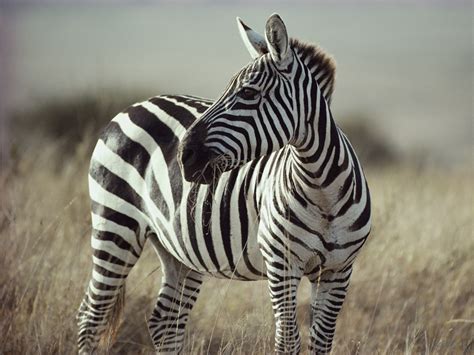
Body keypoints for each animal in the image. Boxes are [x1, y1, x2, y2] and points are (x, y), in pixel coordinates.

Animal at [78, 12, 370, 354]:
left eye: (248, 93)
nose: (183, 156)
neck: (324, 191)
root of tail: (132, 106)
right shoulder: (281, 264)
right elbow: (287, 342)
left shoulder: (338, 271)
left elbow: (321, 343)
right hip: (115, 224)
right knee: (91, 314)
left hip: (178, 249)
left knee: (165, 321)